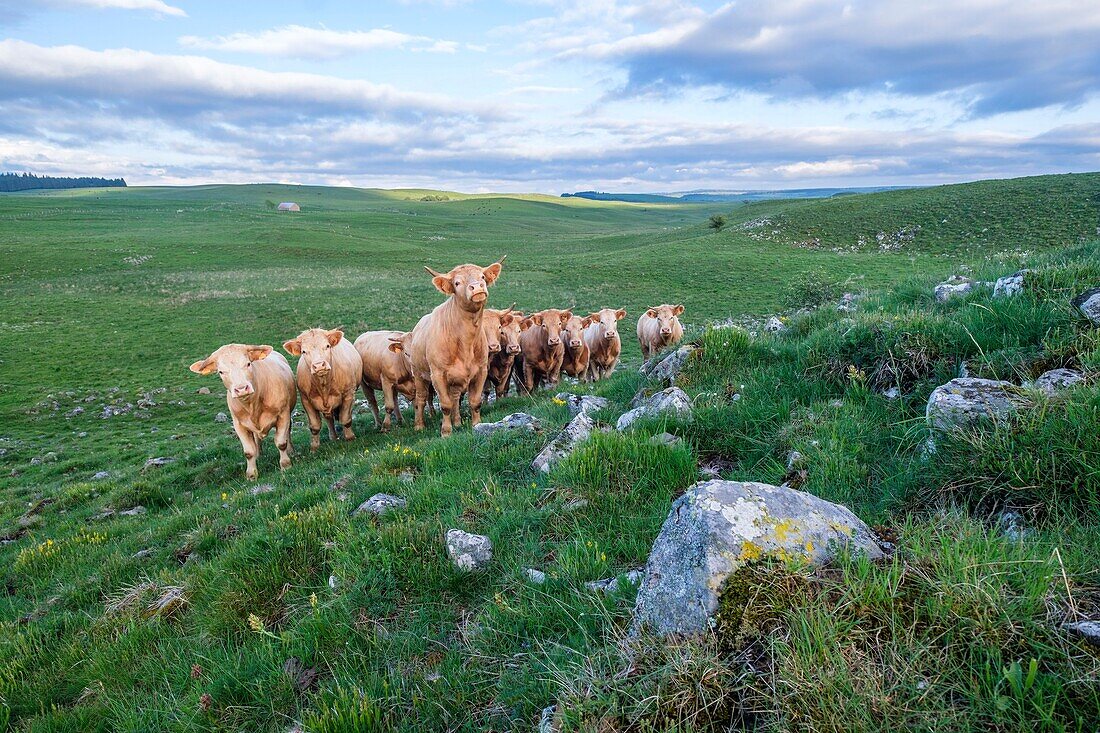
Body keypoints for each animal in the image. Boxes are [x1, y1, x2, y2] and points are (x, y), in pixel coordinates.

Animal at [189, 343, 294, 479]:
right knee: (256, 439)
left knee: (288, 433)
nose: (242, 389)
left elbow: (281, 442)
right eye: (221, 371)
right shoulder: (239, 424)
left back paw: (291, 450)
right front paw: (251, 475)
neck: (252, 404)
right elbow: (248, 452)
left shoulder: (283, 414)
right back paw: (259, 454)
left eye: (248, 364)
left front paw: (286, 465)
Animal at [407, 256, 503, 433]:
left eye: (482, 277)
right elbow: (445, 405)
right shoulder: (437, 374)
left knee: (455, 397)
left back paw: (457, 421)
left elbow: (474, 401)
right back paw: (419, 426)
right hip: (418, 374)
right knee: (421, 399)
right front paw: (446, 431)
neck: (465, 341)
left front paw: (476, 424)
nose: (477, 287)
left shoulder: (481, 370)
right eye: (457, 283)